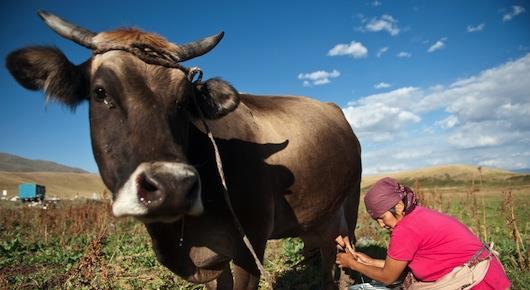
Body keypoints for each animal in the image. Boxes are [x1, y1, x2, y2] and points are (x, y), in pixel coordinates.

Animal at [5, 10, 358, 288]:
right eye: (100, 92)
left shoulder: (251, 246)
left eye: (185, 100)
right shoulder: (216, 260)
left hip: (350, 206)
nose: (172, 187)